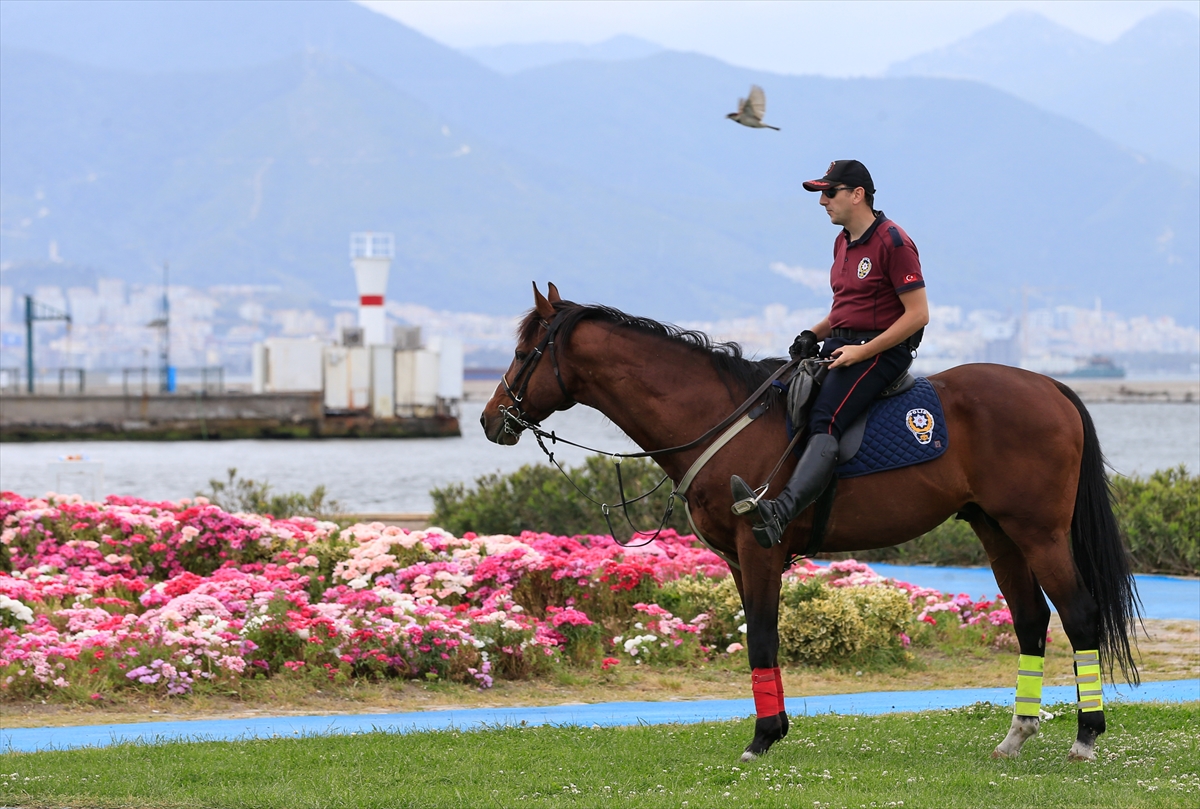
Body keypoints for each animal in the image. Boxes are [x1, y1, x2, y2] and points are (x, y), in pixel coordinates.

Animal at [477, 283, 1132, 763]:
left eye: (523, 353)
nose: (489, 418)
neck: (719, 416)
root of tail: (1049, 385)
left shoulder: (759, 550)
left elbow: (763, 638)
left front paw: (764, 736)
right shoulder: (737, 560)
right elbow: (756, 639)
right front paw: (772, 727)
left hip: (1039, 533)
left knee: (1078, 614)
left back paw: (1086, 735)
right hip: (997, 531)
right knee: (1031, 621)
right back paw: (1017, 734)